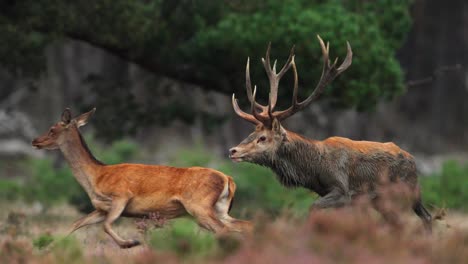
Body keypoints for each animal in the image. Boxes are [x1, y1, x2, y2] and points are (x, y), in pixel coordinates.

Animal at [32, 107, 252, 248]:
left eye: (52, 129)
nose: (35, 141)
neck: (96, 177)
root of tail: (228, 179)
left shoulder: (122, 196)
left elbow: (106, 226)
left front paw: (131, 243)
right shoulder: (101, 208)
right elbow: (76, 223)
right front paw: (52, 246)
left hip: (199, 206)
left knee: (224, 230)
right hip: (220, 209)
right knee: (244, 226)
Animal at [229, 35, 432, 231]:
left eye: (263, 138)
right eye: (251, 133)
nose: (233, 150)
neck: (314, 168)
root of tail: (414, 163)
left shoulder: (343, 190)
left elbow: (314, 208)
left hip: (403, 192)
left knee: (415, 219)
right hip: (393, 199)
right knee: (418, 218)